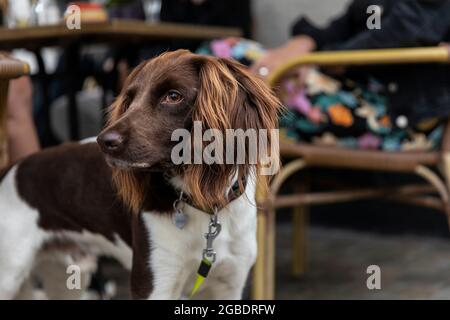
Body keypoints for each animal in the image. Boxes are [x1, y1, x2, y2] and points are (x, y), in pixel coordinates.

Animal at [0, 50, 282, 300]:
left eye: (173, 96)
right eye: (130, 98)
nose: (105, 142)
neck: (205, 204)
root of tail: (12, 169)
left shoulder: (229, 284)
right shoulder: (154, 282)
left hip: (68, 275)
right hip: (11, 273)